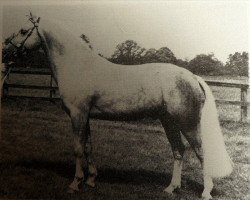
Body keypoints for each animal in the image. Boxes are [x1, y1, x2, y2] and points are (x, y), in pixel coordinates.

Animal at [1, 13, 232, 199]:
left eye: (23, 31)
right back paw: (171, 188)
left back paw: (205, 192)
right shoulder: (85, 116)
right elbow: (88, 147)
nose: (5, 51)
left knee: (201, 152)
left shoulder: (77, 114)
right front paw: (91, 180)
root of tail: (193, 77)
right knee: (178, 150)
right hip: (168, 121)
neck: (78, 65)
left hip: (188, 123)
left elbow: (77, 148)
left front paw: (75, 183)